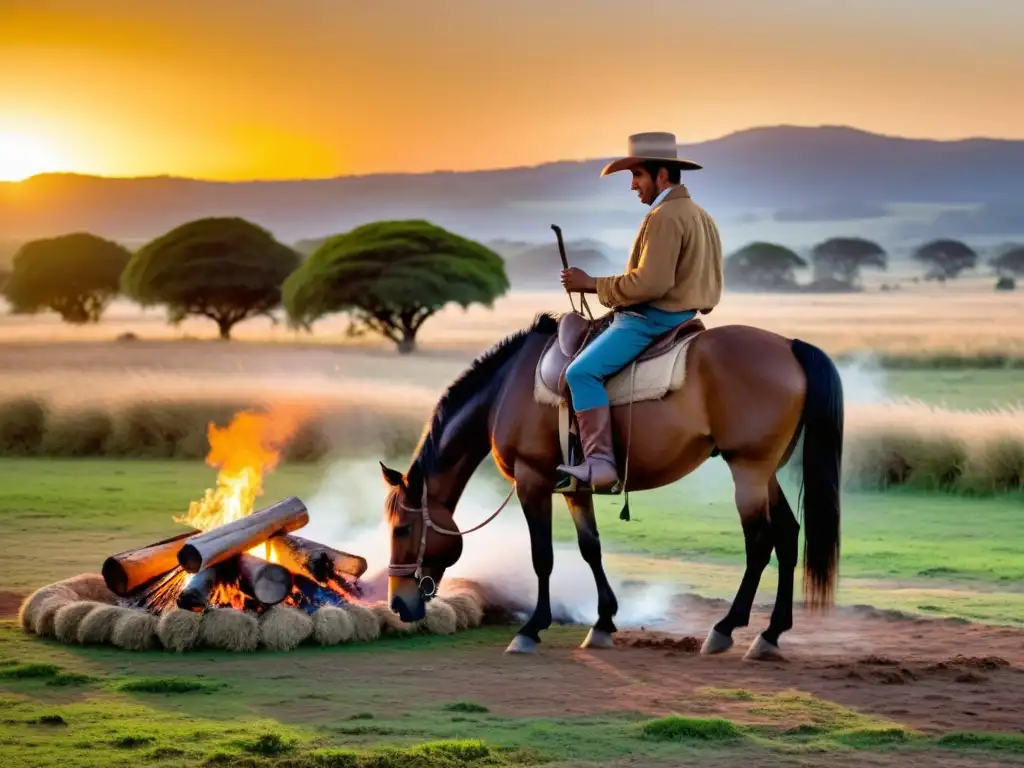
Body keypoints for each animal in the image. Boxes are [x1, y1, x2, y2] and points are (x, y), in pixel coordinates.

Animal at [380, 311, 843, 663]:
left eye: (401, 529)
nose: (398, 603)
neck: (506, 390)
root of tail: (789, 345)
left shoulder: (533, 480)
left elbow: (542, 556)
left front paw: (531, 629)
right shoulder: (574, 487)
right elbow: (591, 548)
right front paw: (603, 624)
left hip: (747, 469)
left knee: (760, 542)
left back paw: (726, 629)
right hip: (765, 472)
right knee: (787, 536)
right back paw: (770, 635)